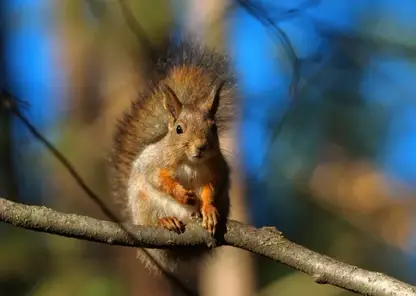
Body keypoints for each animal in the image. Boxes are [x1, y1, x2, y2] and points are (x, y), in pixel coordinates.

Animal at [109, 38, 236, 294]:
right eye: (179, 129)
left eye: (213, 128)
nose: (200, 146)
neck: (191, 162)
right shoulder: (154, 164)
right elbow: (157, 178)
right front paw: (182, 193)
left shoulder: (219, 169)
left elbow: (212, 186)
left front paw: (208, 208)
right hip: (145, 204)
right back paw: (165, 221)